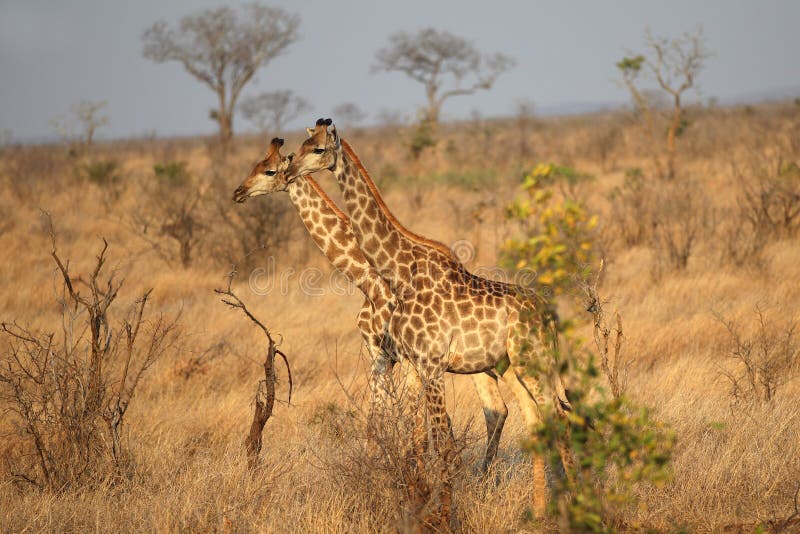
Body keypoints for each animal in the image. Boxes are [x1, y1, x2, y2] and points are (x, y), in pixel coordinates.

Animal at [231, 138, 510, 474]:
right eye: (254, 166)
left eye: (269, 170)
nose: (238, 192)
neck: (367, 277)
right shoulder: (383, 354)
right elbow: (386, 420)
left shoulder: (391, 354)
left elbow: (405, 424)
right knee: (497, 410)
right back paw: (483, 474)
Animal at [288, 119, 576, 520]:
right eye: (297, 148)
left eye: (317, 149)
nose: (289, 172)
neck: (401, 275)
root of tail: (547, 315)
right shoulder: (414, 364)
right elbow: (421, 439)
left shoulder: (431, 364)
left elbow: (441, 444)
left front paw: (443, 517)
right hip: (514, 367)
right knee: (542, 421)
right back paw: (546, 508)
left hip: (532, 363)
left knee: (558, 421)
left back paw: (578, 503)